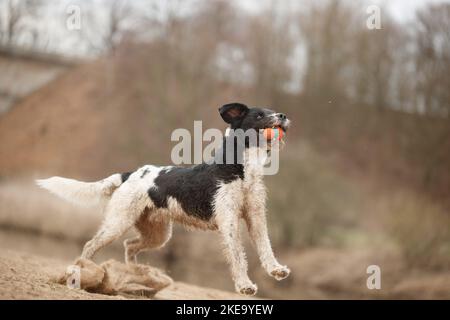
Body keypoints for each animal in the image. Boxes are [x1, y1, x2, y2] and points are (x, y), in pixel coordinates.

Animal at [37, 102, 292, 296]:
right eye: (259, 115)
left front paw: (276, 270)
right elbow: (238, 256)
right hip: (117, 223)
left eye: (272, 111)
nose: (283, 116)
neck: (241, 169)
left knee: (129, 245)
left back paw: (137, 274)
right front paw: (245, 286)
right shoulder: (228, 221)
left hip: (157, 234)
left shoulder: (256, 218)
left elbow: (266, 248)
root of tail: (129, 174)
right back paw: (81, 273)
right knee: (90, 245)